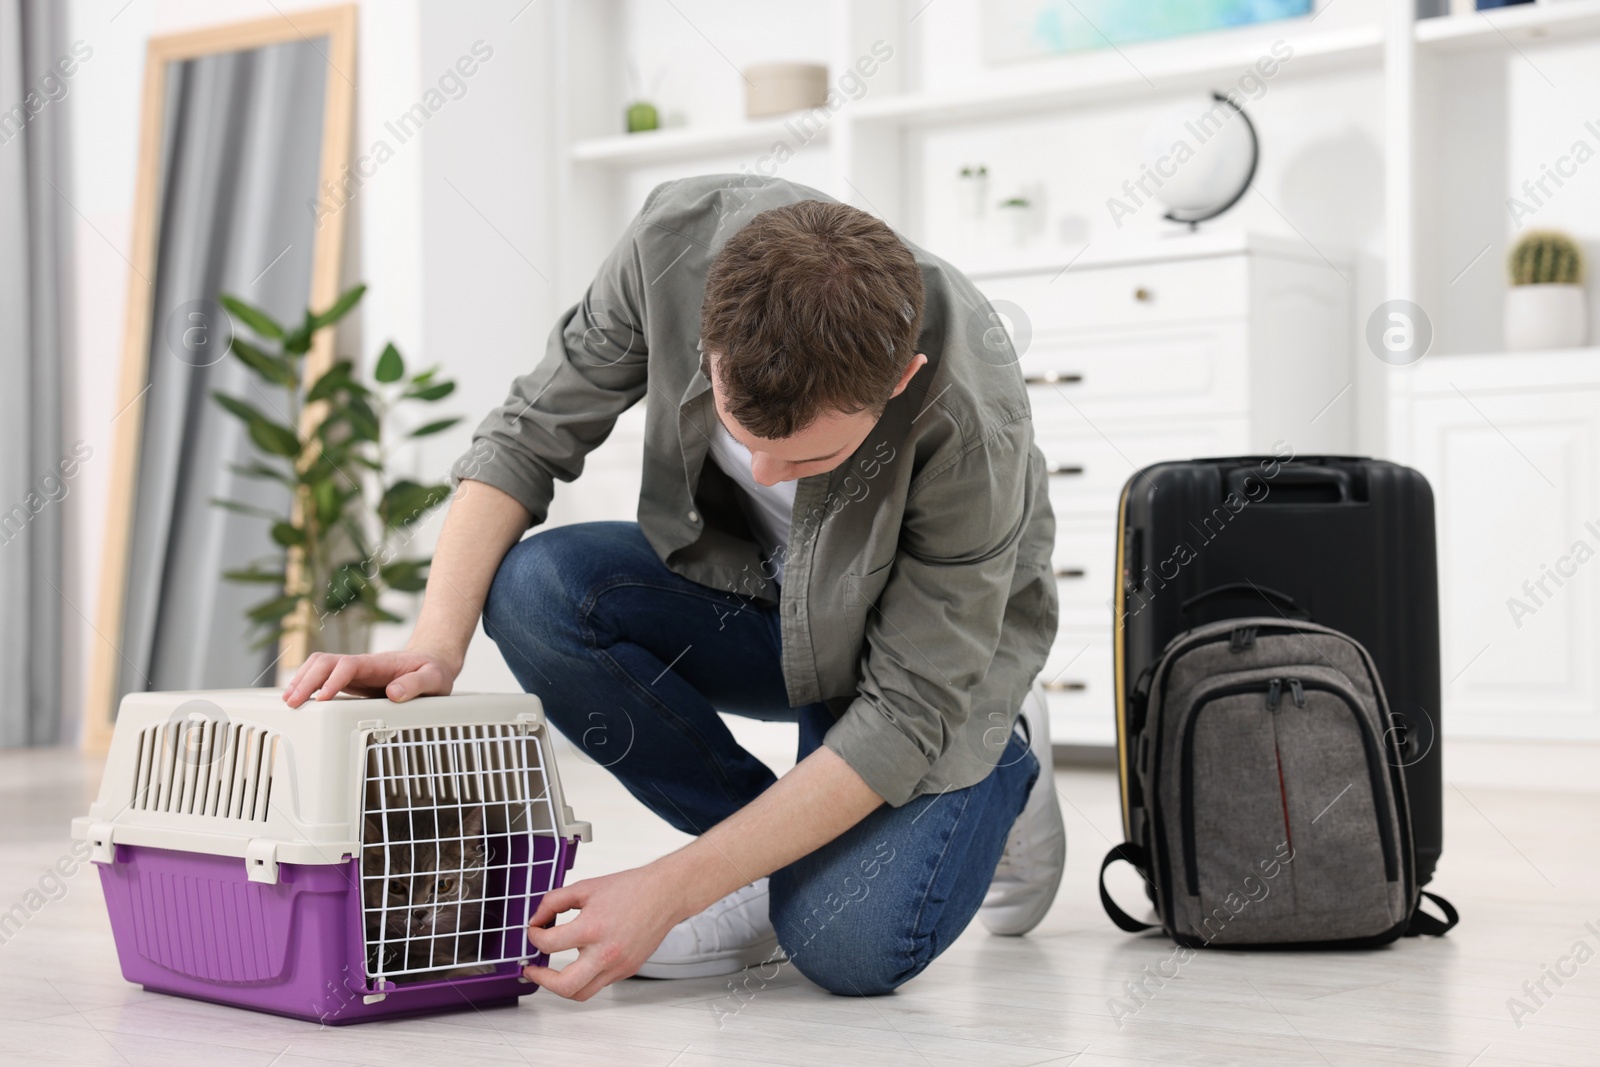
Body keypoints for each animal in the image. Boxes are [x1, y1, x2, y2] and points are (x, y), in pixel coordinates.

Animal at [363, 799, 492, 985]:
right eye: (395, 886)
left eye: (443, 885)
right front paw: (470, 967)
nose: (419, 912)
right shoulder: (387, 963)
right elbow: (426, 965)